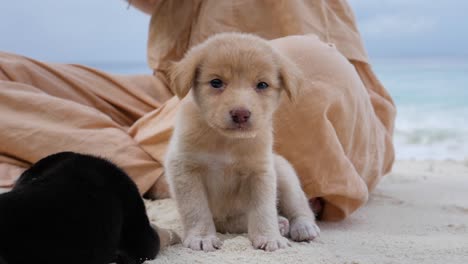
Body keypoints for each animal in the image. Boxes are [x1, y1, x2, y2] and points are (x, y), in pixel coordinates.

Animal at [164, 33, 318, 252]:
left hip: (284, 172)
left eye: (262, 85)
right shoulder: (184, 168)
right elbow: (196, 208)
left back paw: (302, 226)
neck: (226, 142)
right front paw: (202, 237)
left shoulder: (260, 171)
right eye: (216, 82)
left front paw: (269, 237)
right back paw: (281, 223)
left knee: (300, 206)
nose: (241, 114)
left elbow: (264, 209)